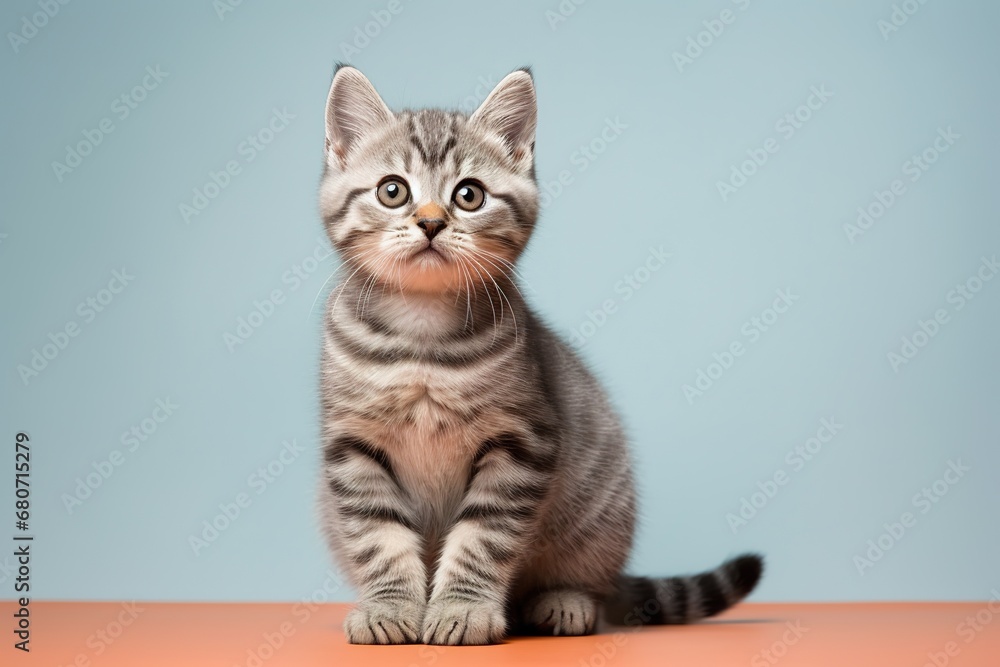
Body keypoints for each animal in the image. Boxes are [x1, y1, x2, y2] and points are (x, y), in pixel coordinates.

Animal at [316, 65, 760, 644]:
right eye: (393, 191)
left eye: (469, 195)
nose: (432, 222)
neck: (422, 337)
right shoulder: (353, 446)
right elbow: (379, 537)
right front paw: (388, 606)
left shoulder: (522, 441)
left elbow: (482, 538)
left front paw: (462, 609)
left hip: (600, 515)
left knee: (584, 583)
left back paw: (562, 602)